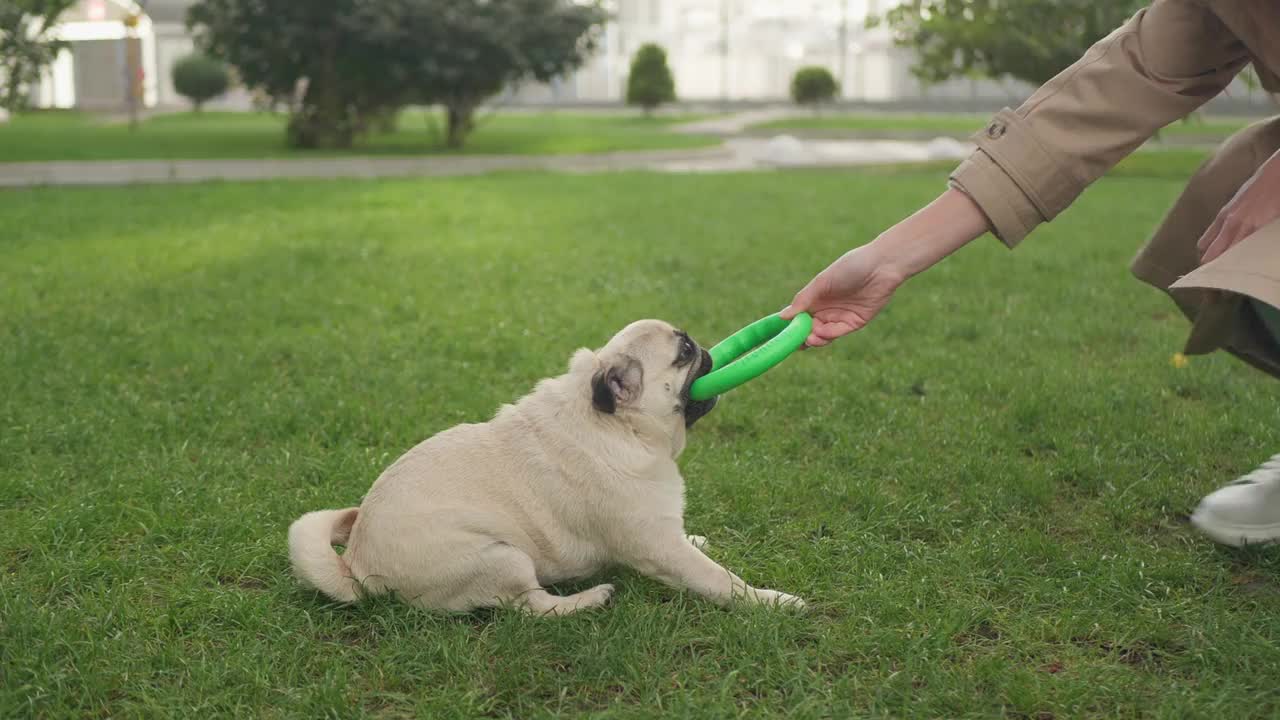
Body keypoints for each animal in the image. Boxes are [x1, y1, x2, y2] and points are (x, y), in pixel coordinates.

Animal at [293, 320, 803, 617]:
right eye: (683, 354)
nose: (707, 350)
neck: (620, 427)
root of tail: (356, 566)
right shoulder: (659, 549)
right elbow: (720, 580)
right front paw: (770, 602)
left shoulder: (661, 534)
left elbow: (690, 546)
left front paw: (698, 538)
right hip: (502, 558)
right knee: (533, 607)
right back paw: (587, 599)